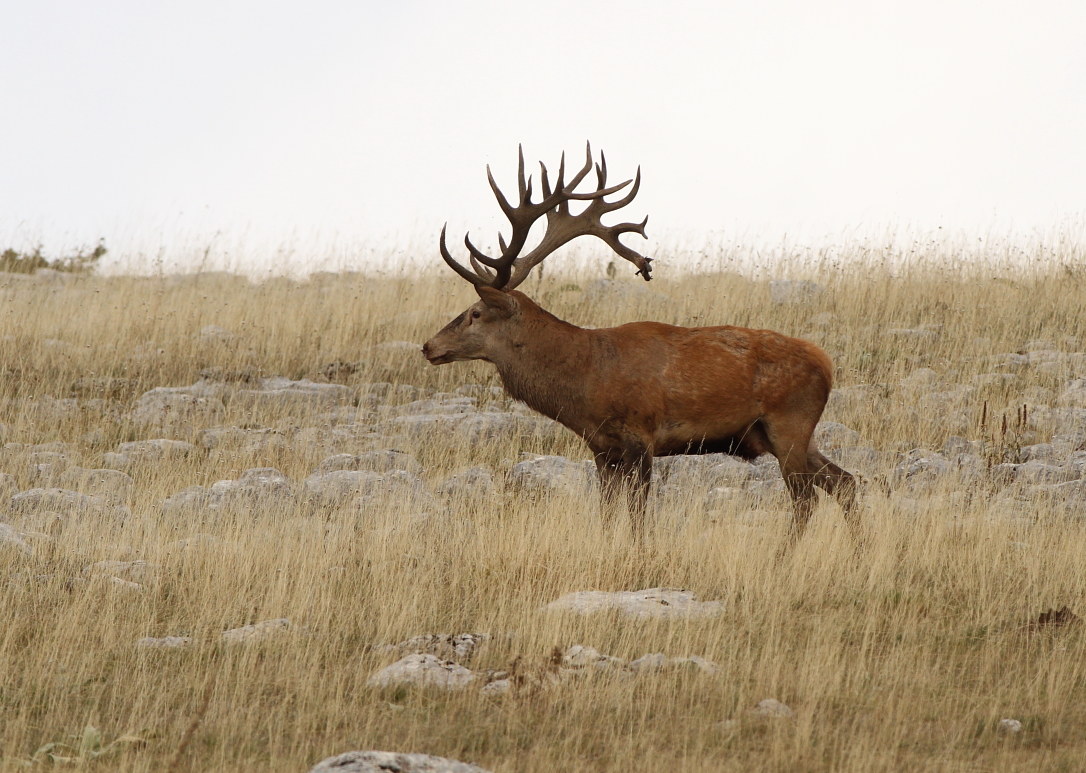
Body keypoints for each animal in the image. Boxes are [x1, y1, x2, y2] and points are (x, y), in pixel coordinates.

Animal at [422, 144, 857, 540]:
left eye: (476, 313)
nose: (428, 346)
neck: (587, 381)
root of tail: (826, 363)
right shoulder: (602, 448)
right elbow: (607, 513)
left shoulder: (641, 435)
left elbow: (637, 516)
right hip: (786, 433)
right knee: (846, 483)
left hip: (790, 421)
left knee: (806, 498)